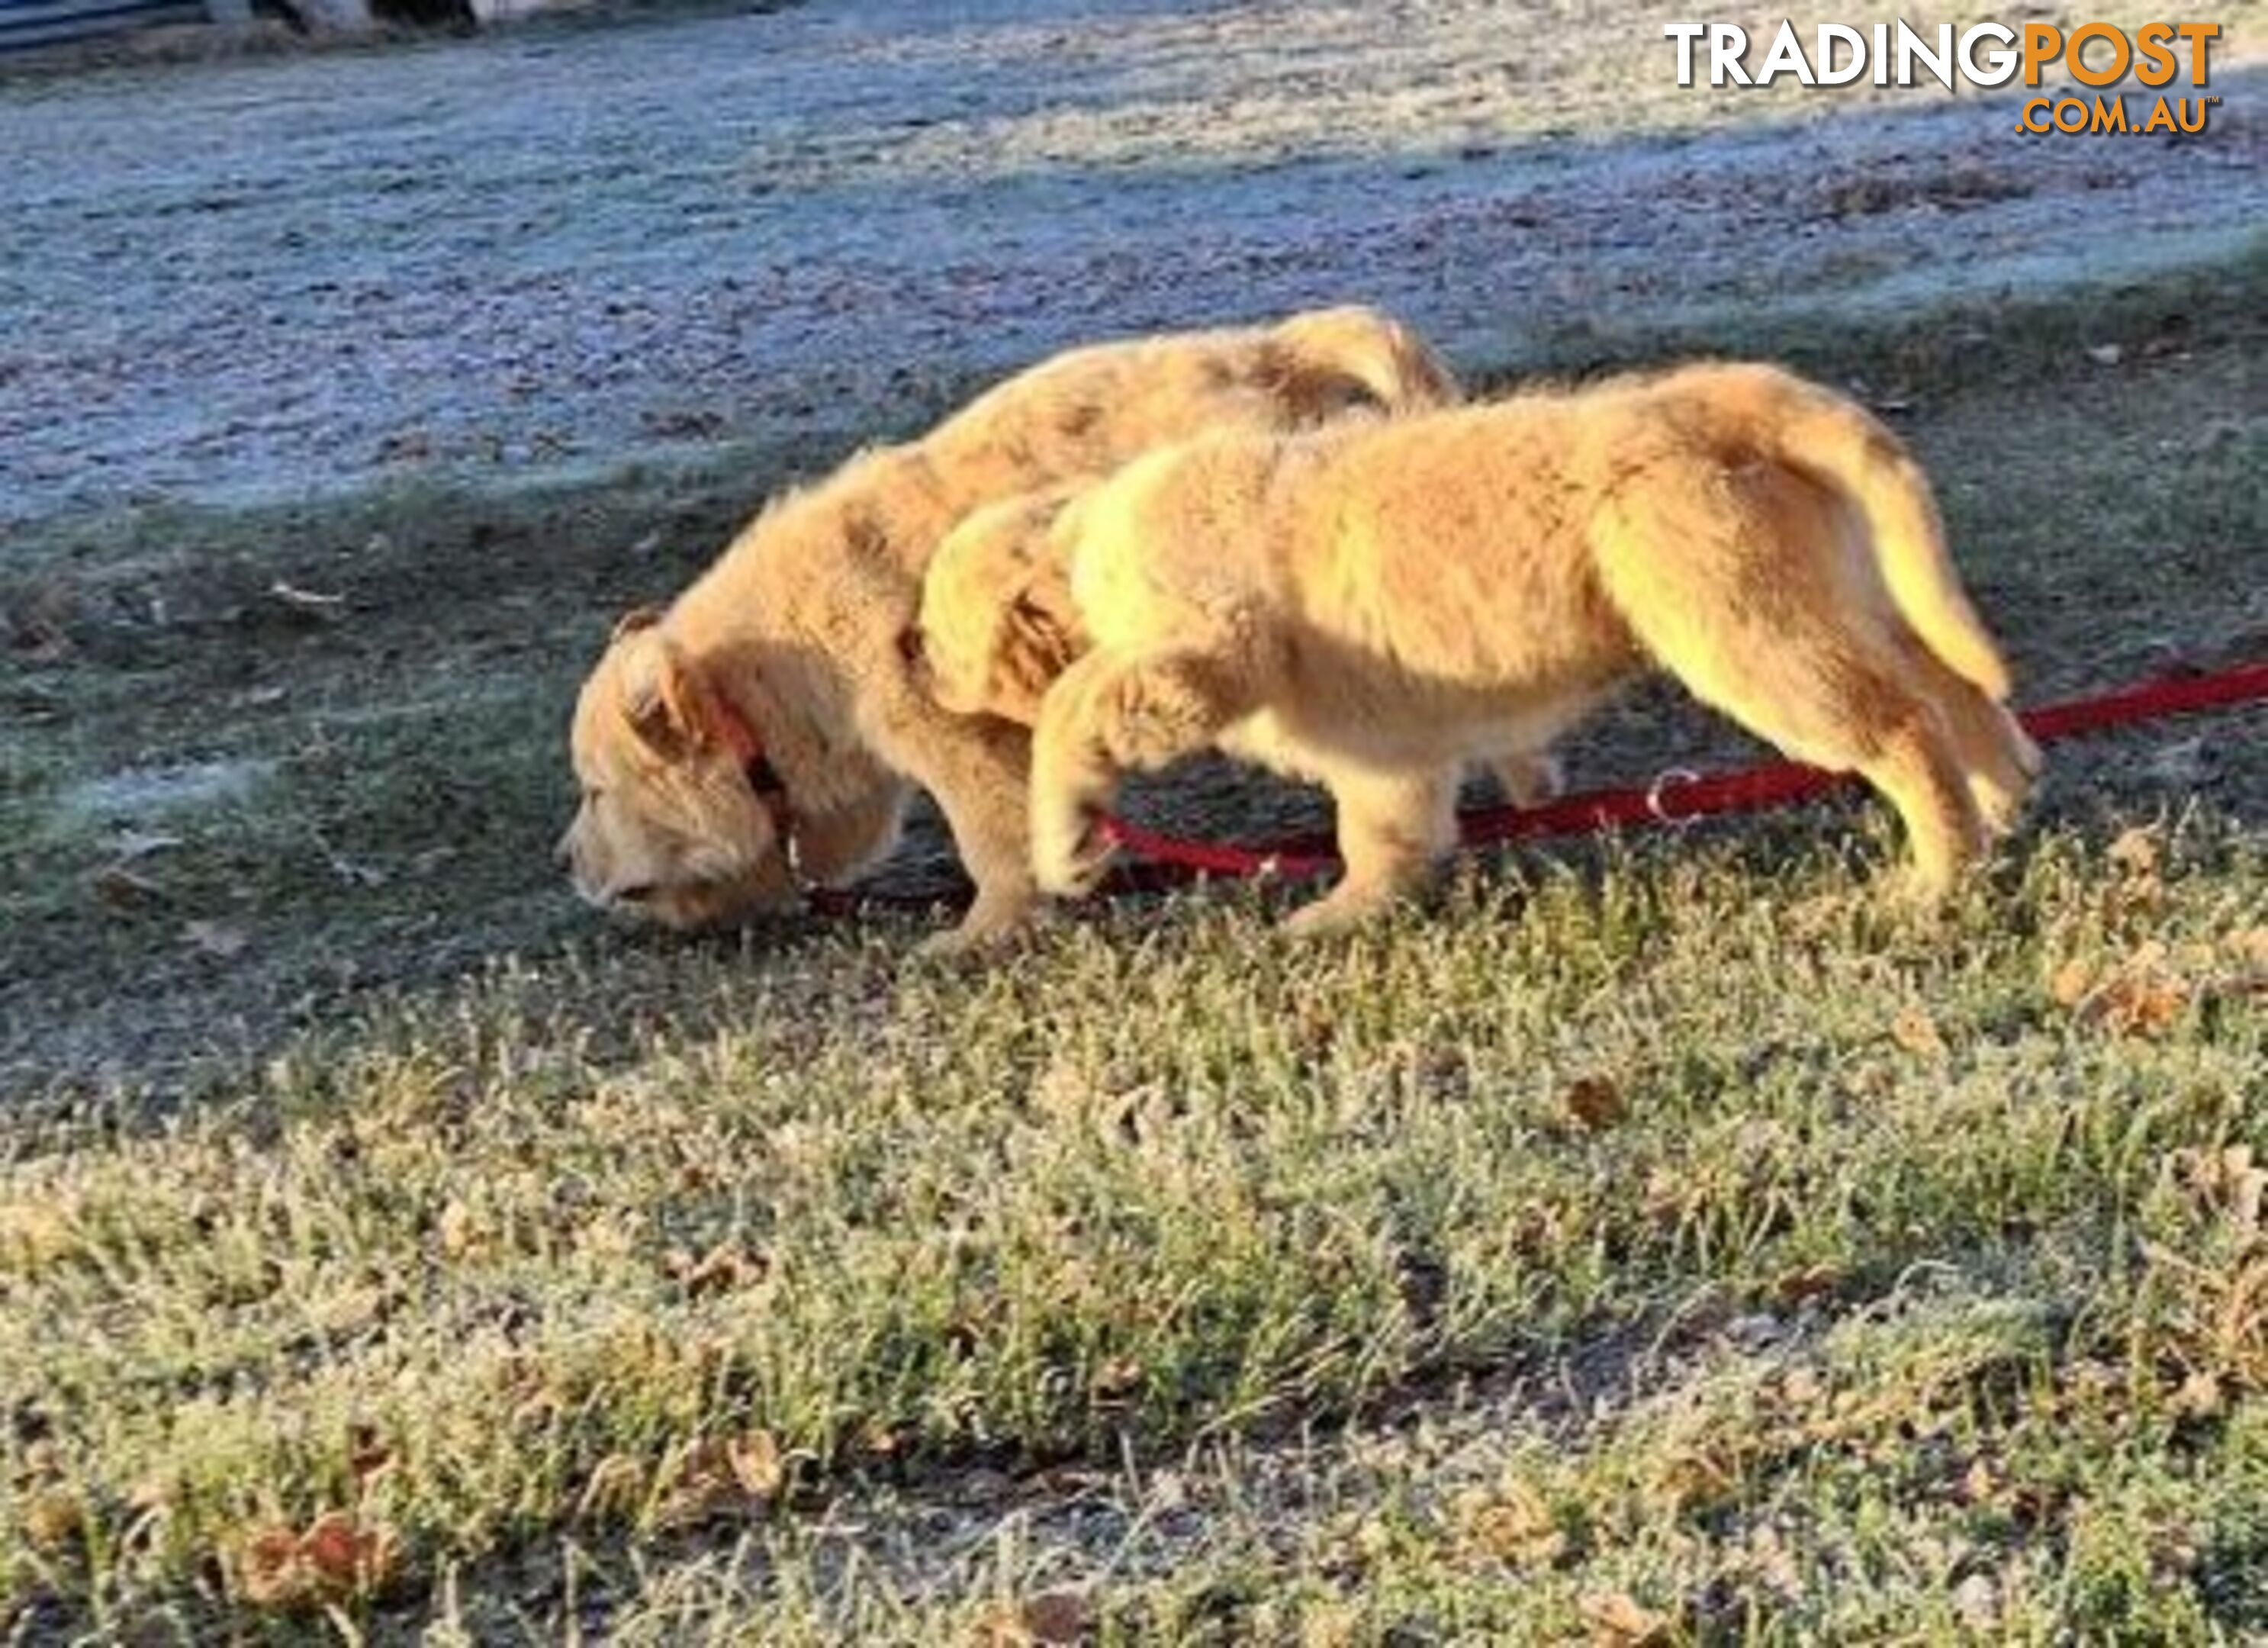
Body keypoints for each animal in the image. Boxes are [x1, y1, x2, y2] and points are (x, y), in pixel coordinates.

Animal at [558, 306, 1460, 951]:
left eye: (597, 791)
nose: (563, 862)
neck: (772, 671)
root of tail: (1273, 351)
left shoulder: (950, 732)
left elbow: (989, 837)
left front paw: (982, 932)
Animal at [989, 360, 2041, 929]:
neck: (1086, 545)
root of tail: (1712, 397)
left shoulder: (1207, 648)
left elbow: (1077, 706)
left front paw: (1064, 842)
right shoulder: (1382, 748)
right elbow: (1384, 833)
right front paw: (1348, 912)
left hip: (1751, 635)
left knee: (1902, 727)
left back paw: (1937, 877)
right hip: (1841, 596)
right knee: (1951, 688)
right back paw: (1999, 803)